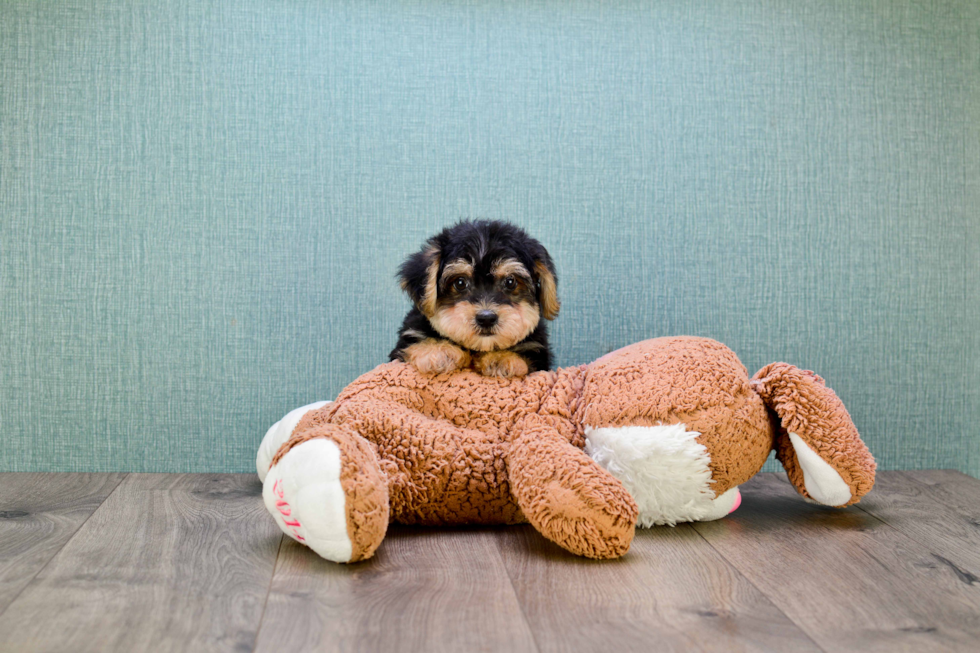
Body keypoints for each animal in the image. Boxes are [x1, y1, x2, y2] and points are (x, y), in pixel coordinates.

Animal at [388, 220, 560, 376]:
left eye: (510, 282)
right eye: (460, 283)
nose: (486, 318)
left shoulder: (538, 354)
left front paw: (503, 358)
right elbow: (415, 344)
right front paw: (438, 350)